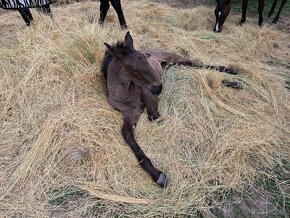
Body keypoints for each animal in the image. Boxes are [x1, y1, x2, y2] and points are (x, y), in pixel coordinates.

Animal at [101, 31, 241, 187]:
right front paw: (157, 174)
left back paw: (232, 75)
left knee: (196, 64)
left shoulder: (148, 94)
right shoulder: (130, 113)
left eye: (145, 58)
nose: (158, 87)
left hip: (174, 58)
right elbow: (127, 134)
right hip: (170, 64)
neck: (126, 93)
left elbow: (154, 116)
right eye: (133, 68)